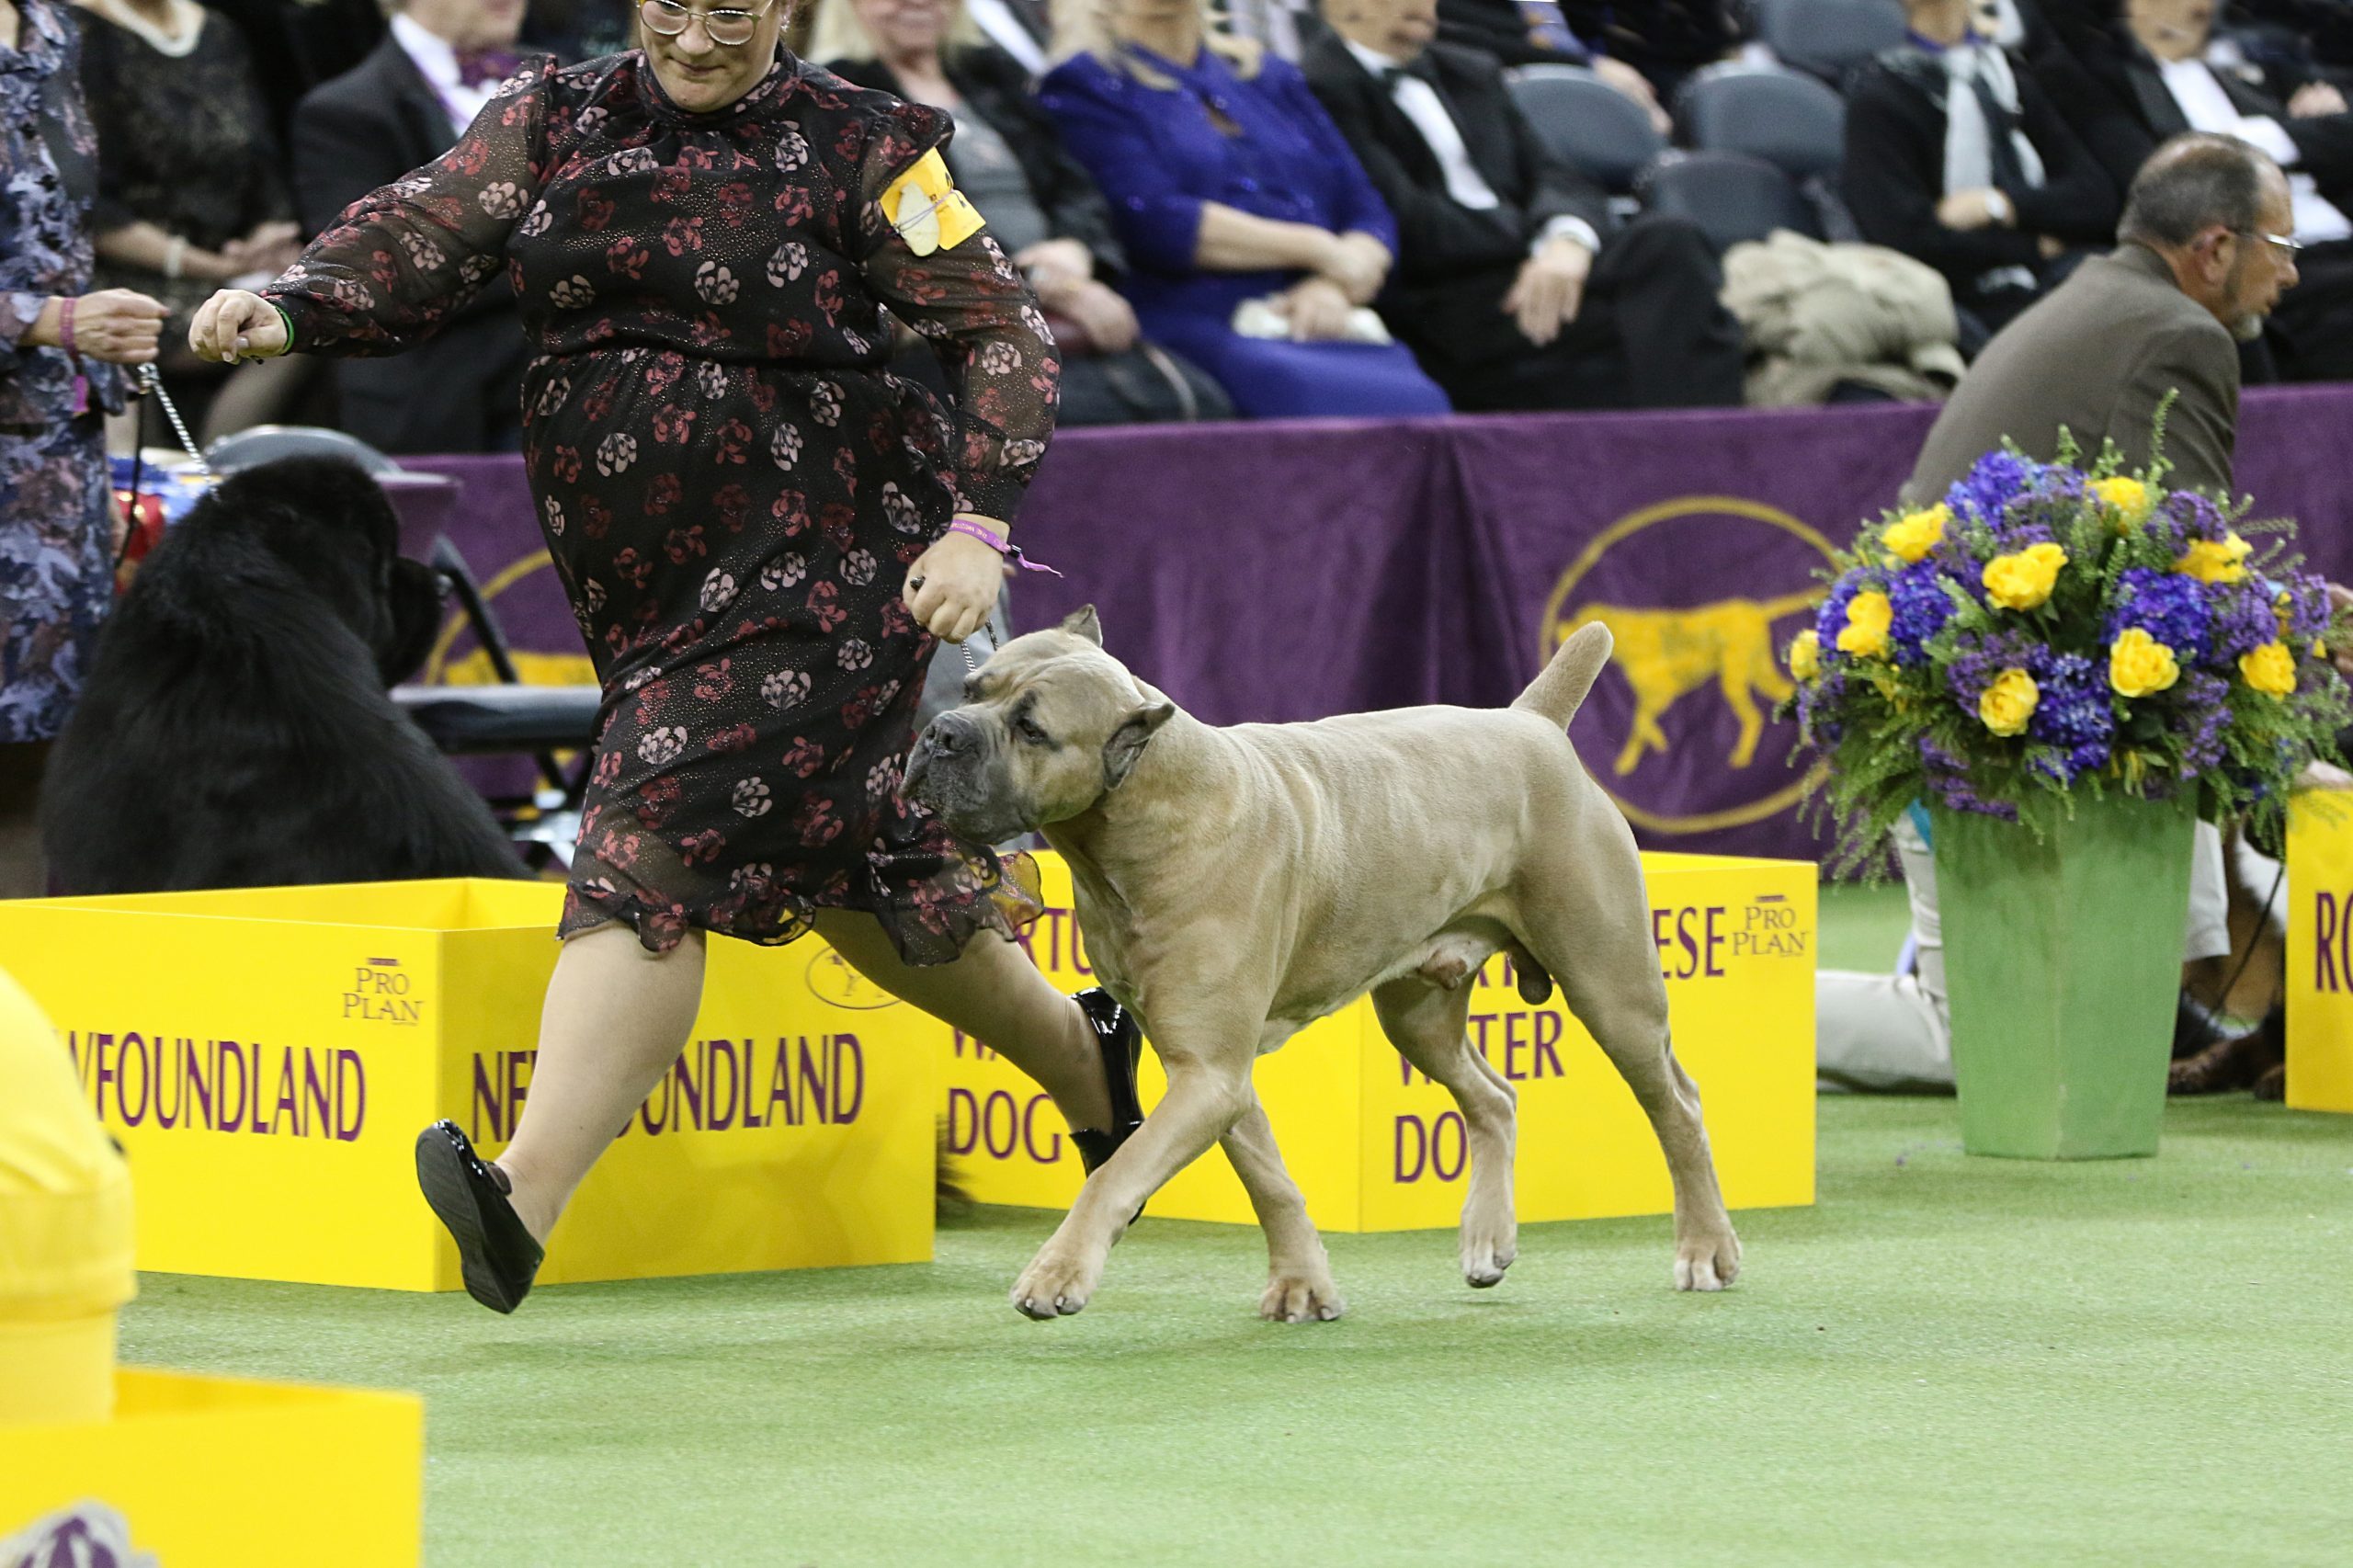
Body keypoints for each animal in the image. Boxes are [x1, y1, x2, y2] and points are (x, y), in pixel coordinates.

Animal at [898, 602, 1750, 1309]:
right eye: (971, 686)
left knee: (1677, 1106)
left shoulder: (1208, 1074)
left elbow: (1117, 1173)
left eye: (1032, 729)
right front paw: (1302, 1284)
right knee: (1494, 1097)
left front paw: (1058, 1273)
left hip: (1612, 990)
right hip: (1419, 1015)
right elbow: (1266, 1176)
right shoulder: (1211, 1073)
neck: (1143, 817)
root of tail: (1532, 725)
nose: (940, 733)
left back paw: (1706, 1250)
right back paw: (1487, 1239)